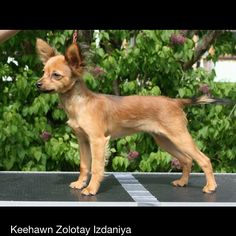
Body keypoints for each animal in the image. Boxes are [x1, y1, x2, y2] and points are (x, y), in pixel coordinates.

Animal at [35, 39, 225, 195]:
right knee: (186, 159)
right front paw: (80, 183)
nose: (37, 84)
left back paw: (211, 186)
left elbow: (95, 167)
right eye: (43, 72)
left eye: (56, 75)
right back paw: (183, 182)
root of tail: (175, 101)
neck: (80, 103)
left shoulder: (97, 141)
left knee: (204, 159)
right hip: (165, 140)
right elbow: (84, 165)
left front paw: (91, 189)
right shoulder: (83, 140)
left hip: (180, 137)